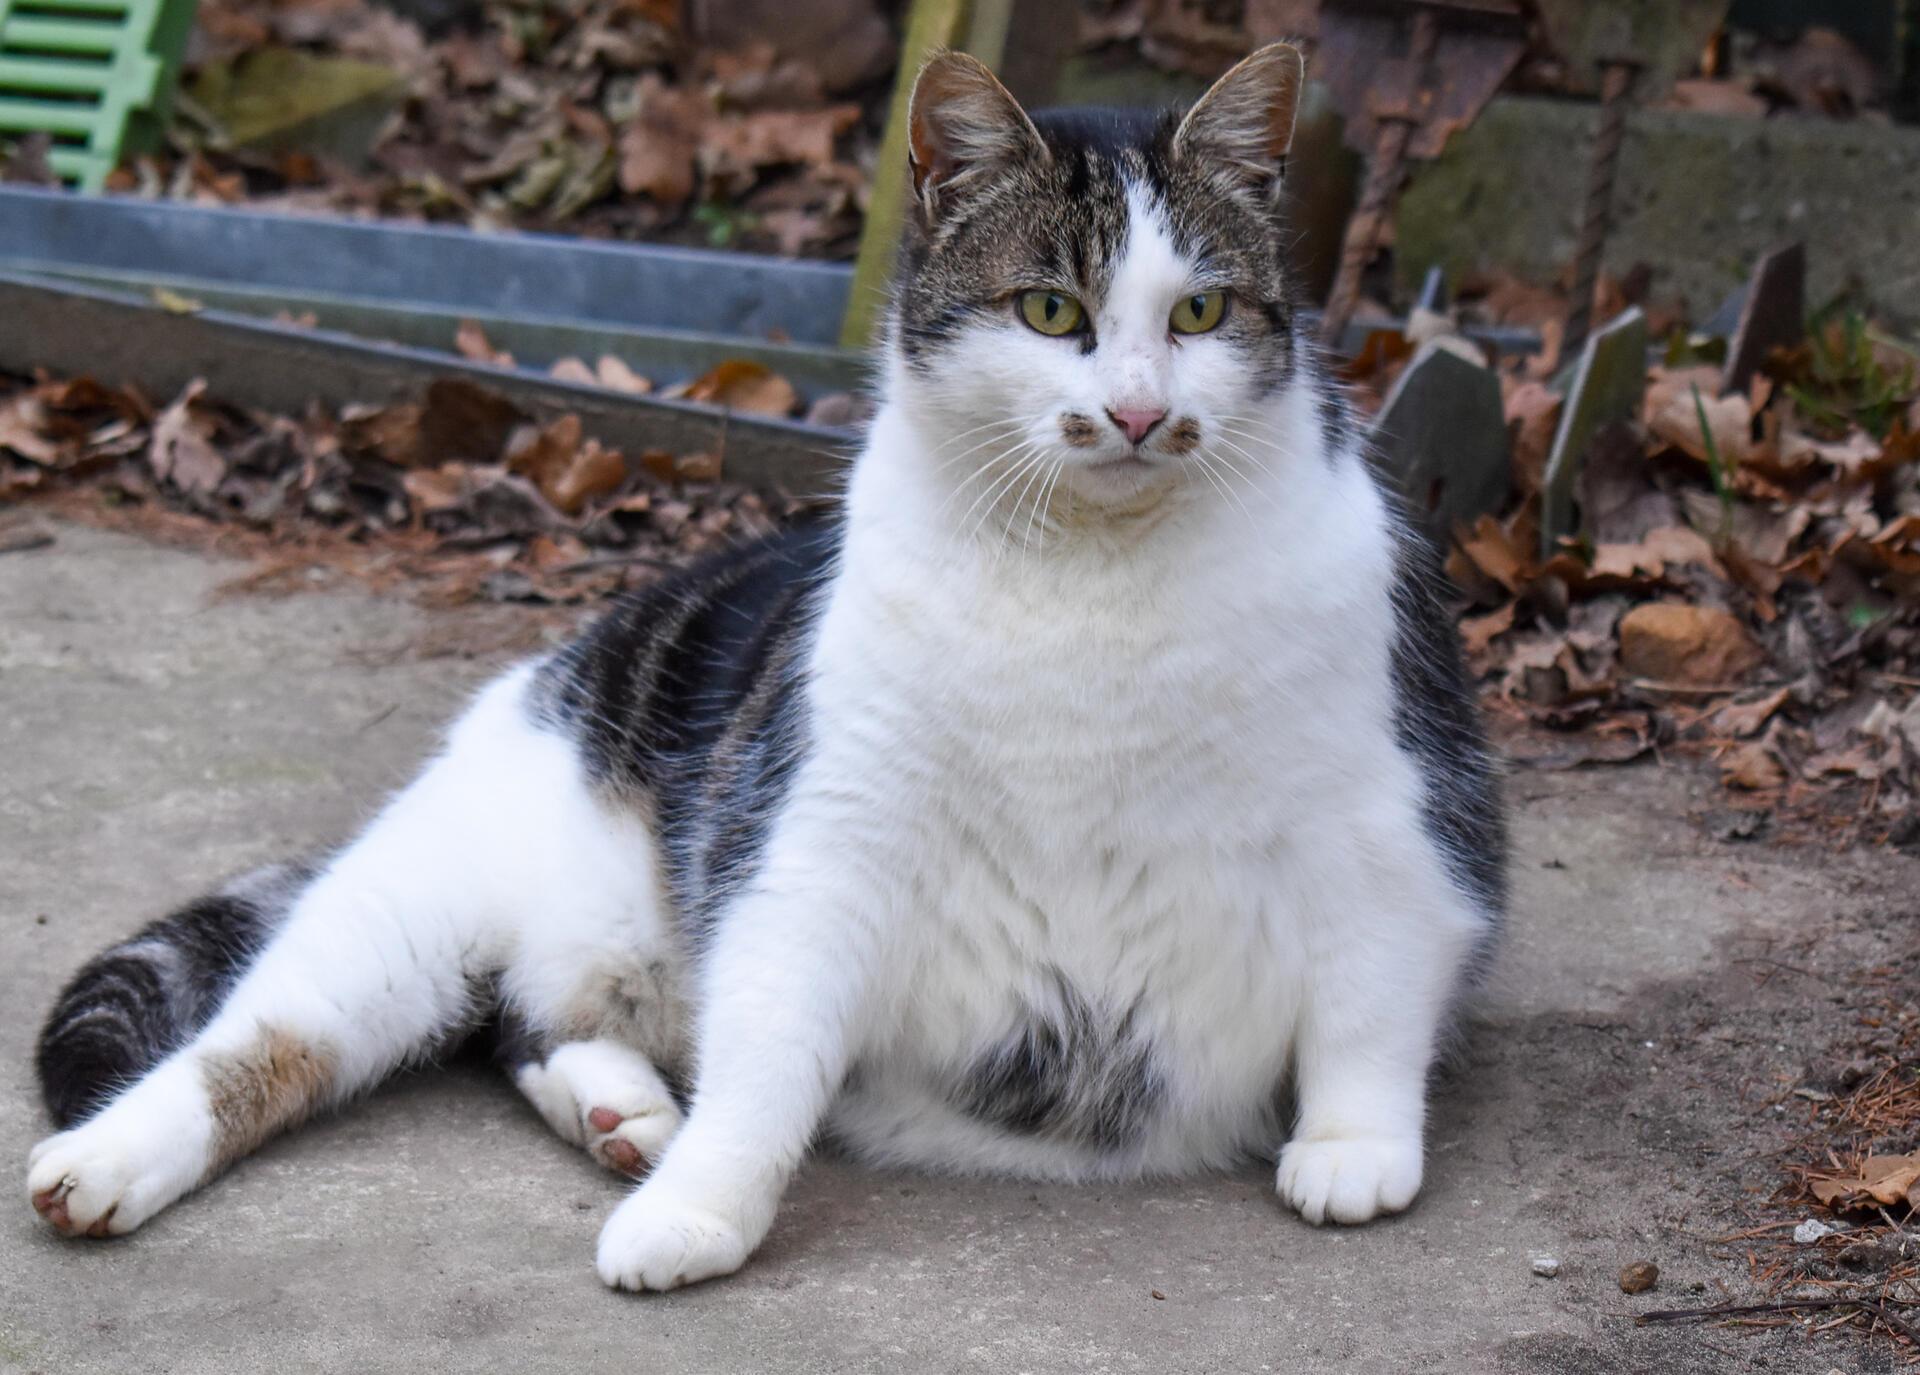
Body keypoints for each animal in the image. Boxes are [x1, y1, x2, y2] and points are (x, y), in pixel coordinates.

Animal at [22, 42, 1505, 1290]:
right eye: (1050, 309)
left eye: (1200, 309)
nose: (1139, 413)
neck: (1095, 573)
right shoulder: (820, 831)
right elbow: (767, 1058)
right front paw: (696, 1206)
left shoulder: (1389, 817)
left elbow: (1371, 995)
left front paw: (1354, 1147)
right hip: (407, 912)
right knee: (268, 1041)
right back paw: (105, 1161)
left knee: (525, 1023)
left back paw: (617, 1108)